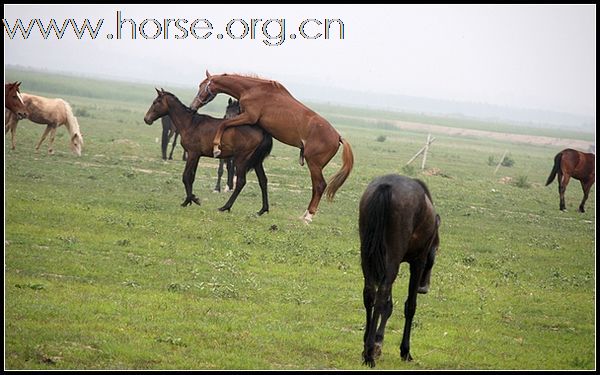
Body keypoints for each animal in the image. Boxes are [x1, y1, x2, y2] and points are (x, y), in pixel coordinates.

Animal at [190, 70, 354, 223]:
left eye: (201, 86)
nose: (193, 106)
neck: (252, 89)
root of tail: (338, 137)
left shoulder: (249, 117)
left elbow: (223, 125)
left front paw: (216, 147)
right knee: (316, 187)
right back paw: (304, 215)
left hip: (313, 164)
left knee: (319, 185)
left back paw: (308, 217)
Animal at [358, 175, 442, 368]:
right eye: (436, 249)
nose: (424, 288)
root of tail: (386, 186)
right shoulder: (418, 262)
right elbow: (410, 306)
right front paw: (405, 351)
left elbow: (388, 306)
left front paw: (377, 342)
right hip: (393, 259)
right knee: (380, 296)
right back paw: (369, 355)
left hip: (367, 255)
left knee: (370, 294)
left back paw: (367, 348)